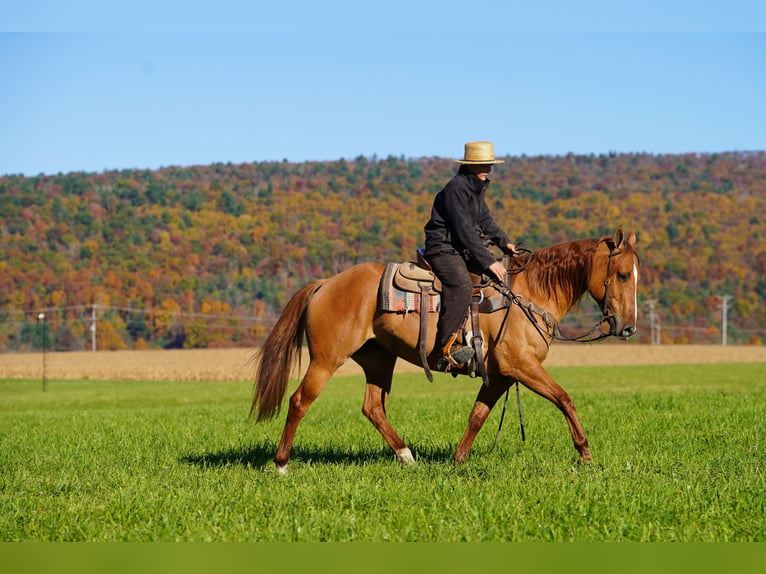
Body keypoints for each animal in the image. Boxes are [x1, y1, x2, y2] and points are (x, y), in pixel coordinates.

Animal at [251, 226, 639, 474]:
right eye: (622, 275)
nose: (628, 327)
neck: (527, 294)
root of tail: (325, 284)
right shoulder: (522, 366)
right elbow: (564, 398)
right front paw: (585, 453)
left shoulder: (499, 375)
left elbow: (478, 415)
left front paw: (458, 460)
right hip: (326, 359)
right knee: (299, 401)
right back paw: (282, 465)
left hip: (379, 359)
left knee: (372, 407)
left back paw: (407, 456)